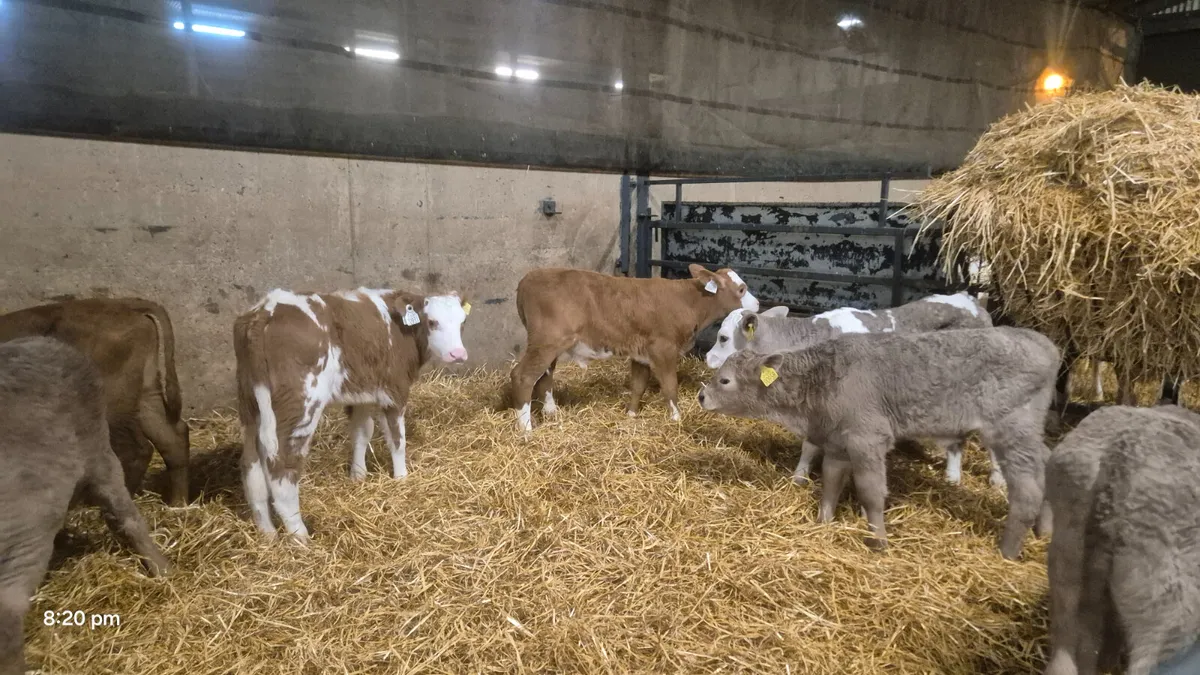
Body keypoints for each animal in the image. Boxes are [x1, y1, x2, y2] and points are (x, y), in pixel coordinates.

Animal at [0, 298, 190, 506]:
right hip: (145, 394)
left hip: (112, 401)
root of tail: (128, 306)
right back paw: (178, 503)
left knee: (137, 449)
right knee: (171, 438)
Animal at [233, 287, 469, 543]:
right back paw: (300, 537)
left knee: (251, 465)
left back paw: (267, 534)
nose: (458, 354)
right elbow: (397, 440)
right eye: (432, 322)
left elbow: (362, 432)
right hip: (299, 406)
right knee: (283, 468)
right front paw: (401, 478)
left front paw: (358, 475)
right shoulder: (394, 390)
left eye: (462, 322)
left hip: (250, 405)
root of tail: (265, 310)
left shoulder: (363, 393)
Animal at [510, 265, 758, 431]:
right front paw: (676, 418)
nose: (757, 304)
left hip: (550, 346)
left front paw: (631, 414)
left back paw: (551, 413)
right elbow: (670, 385)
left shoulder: (641, 354)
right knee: (523, 376)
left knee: (545, 376)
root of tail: (528, 278)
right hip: (546, 342)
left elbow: (638, 385)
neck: (689, 301)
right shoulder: (663, 349)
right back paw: (527, 430)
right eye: (742, 289)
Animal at [697, 326, 1059, 559]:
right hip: (1028, 432)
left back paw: (1007, 551)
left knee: (1027, 490)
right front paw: (823, 523)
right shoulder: (838, 443)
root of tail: (1045, 345)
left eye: (725, 380)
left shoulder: (867, 439)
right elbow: (830, 483)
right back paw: (1045, 531)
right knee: (1047, 462)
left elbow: (871, 492)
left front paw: (879, 542)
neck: (822, 379)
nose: (701, 396)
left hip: (1012, 429)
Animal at [704, 292, 1001, 488]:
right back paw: (952, 476)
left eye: (723, 338)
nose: (707, 357)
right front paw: (802, 473)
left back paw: (996, 478)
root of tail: (973, 302)